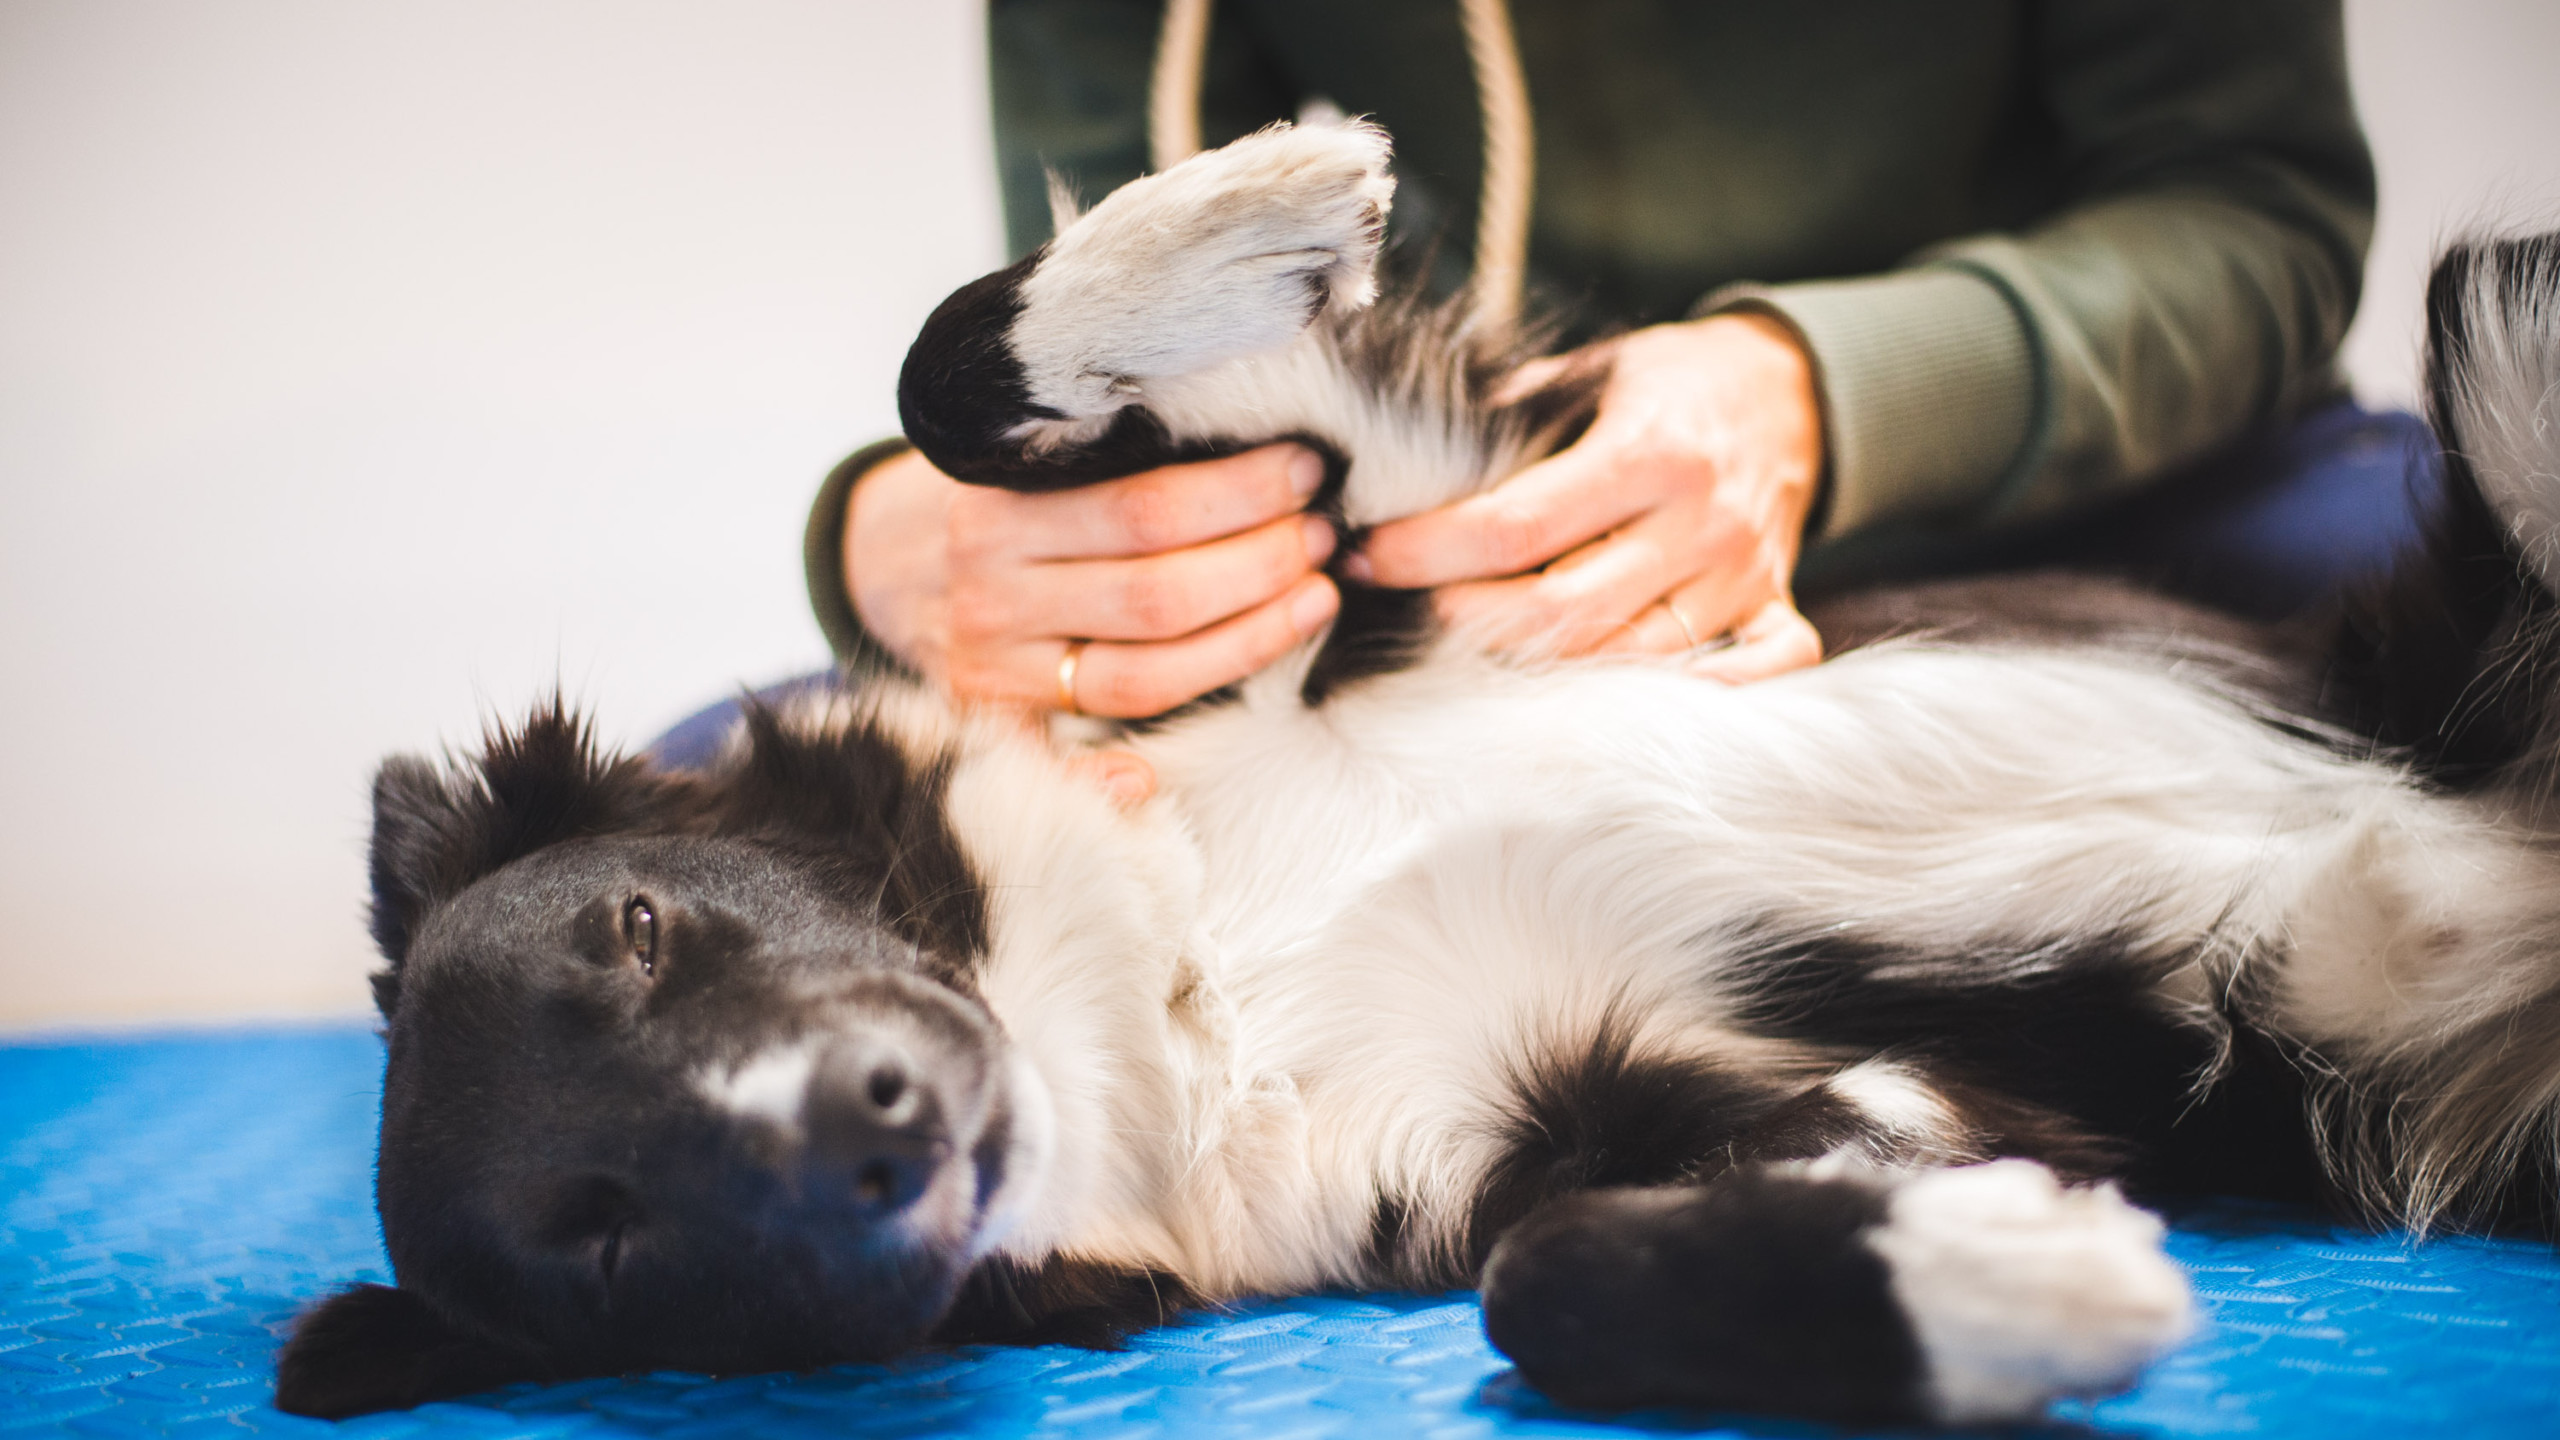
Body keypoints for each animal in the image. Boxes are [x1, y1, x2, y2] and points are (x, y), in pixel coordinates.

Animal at [275, 126, 2560, 1424]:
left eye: (639, 927)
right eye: (605, 1237)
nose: (874, 1121)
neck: (1199, 969)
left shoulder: (1401, 519)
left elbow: (950, 370)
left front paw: (1250, 202)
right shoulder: (1654, 1123)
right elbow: (1549, 1284)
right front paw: (1993, 1290)